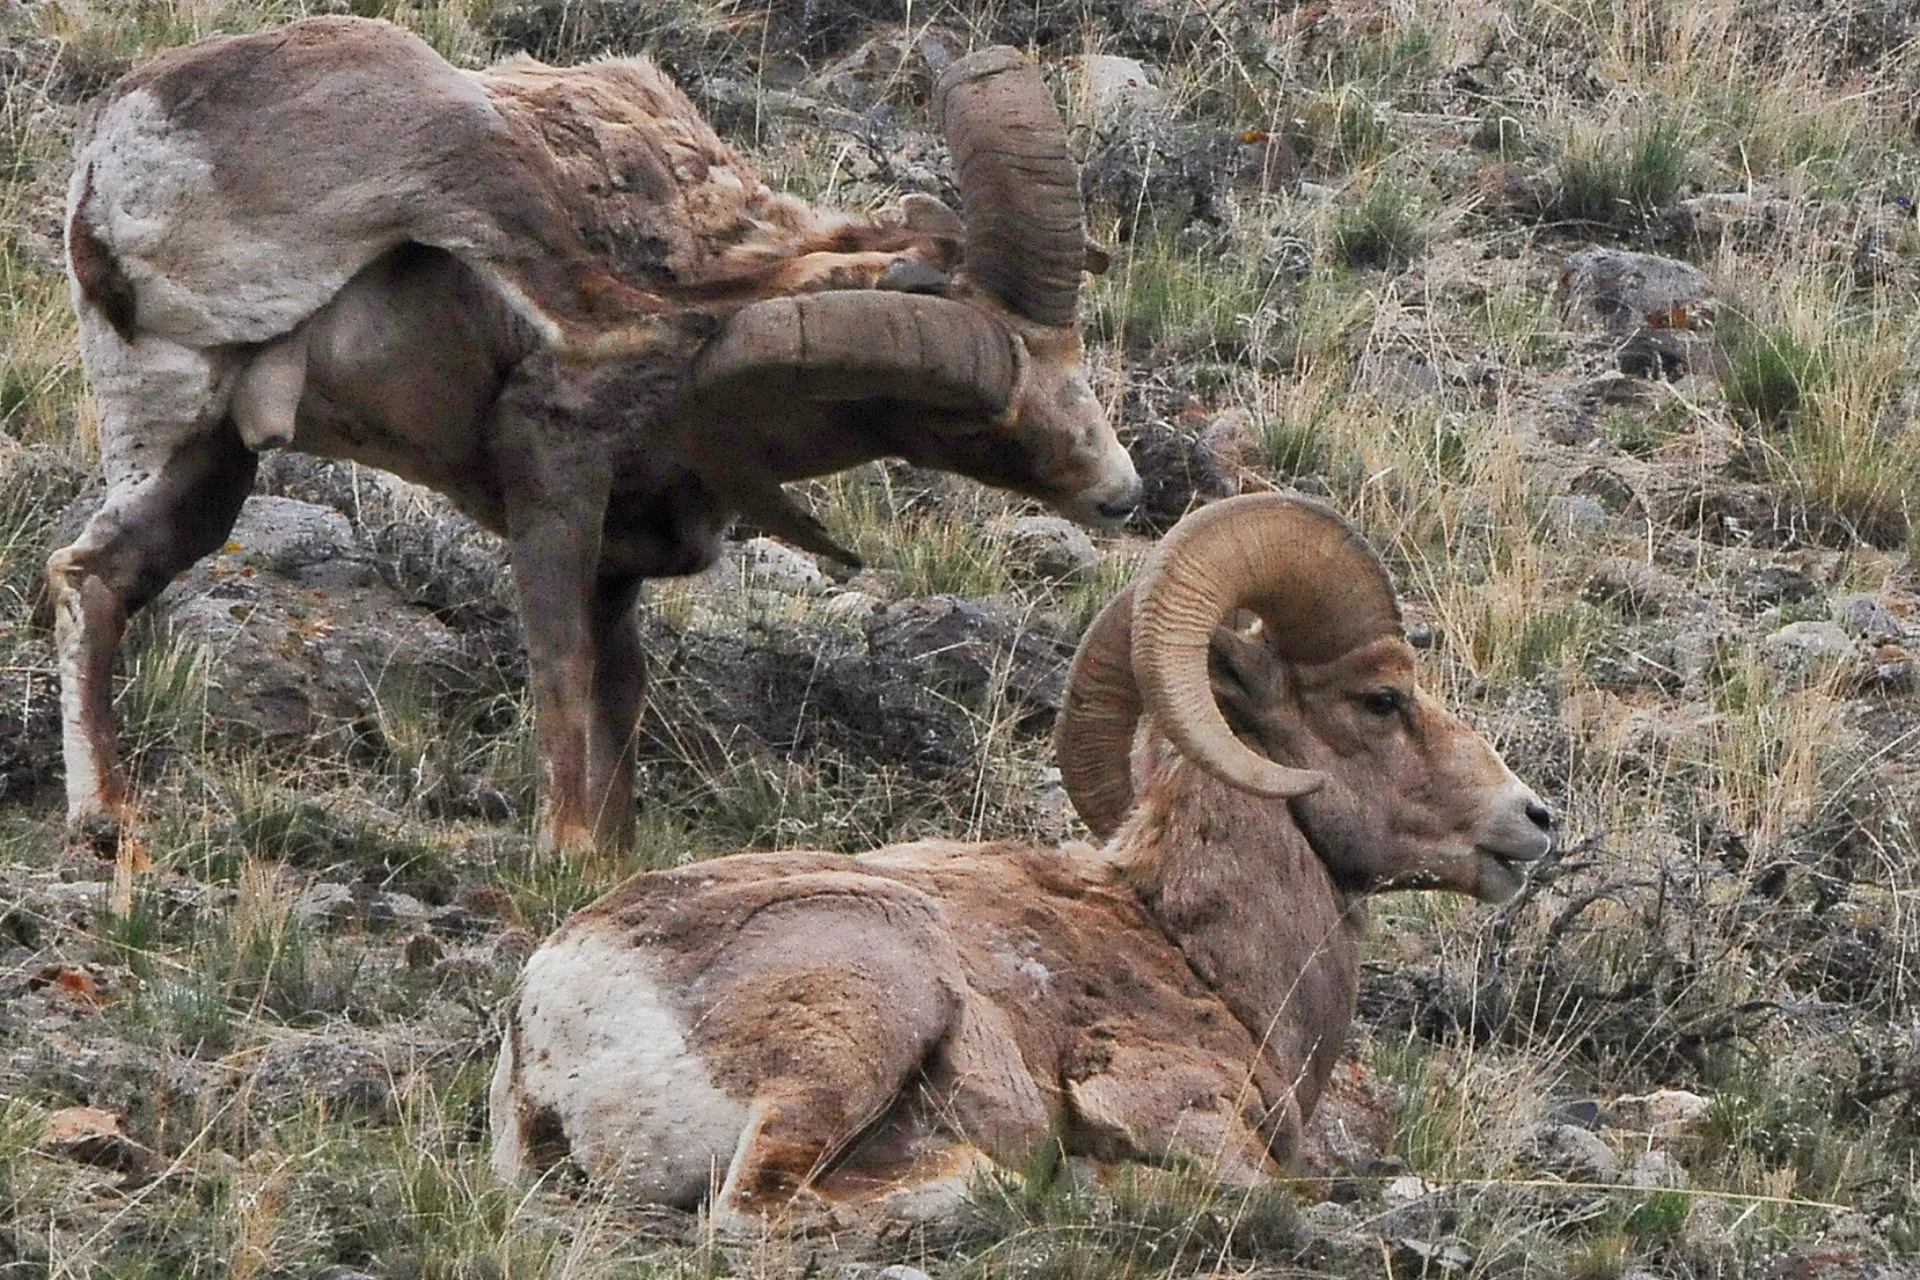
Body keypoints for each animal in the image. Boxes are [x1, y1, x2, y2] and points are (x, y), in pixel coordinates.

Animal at [48, 18, 1142, 855]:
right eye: (964, 415)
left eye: (1071, 344)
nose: (1122, 493)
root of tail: (117, 167)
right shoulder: (558, 478)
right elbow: (564, 673)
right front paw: (571, 848)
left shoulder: (618, 565)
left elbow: (617, 701)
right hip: (466, 151)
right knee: (593, 299)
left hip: (193, 450)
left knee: (94, 575)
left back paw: (107, 817)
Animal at [489, 491, 1556, 1231]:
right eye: (1383, 699)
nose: (1533, 820)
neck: (1200, 956)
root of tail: (559, 1020)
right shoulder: (1178, 1110)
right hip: (870, 1011)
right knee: (762, 1208)